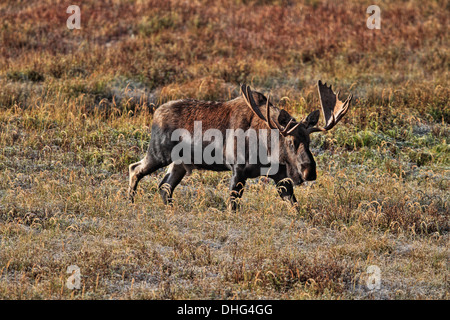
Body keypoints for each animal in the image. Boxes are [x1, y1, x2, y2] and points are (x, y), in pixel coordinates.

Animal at [128, 80, 354, 210]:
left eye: (309, 141)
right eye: (291, 141)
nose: (310, 172)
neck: (267, 149)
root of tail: (156, 112)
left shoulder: (279, 175)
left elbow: (294, 204)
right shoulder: (238, 169)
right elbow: (232, 205)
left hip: (180, 164)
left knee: (164, 186)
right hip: (159, 152)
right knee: (135, 168)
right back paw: (129, 201)